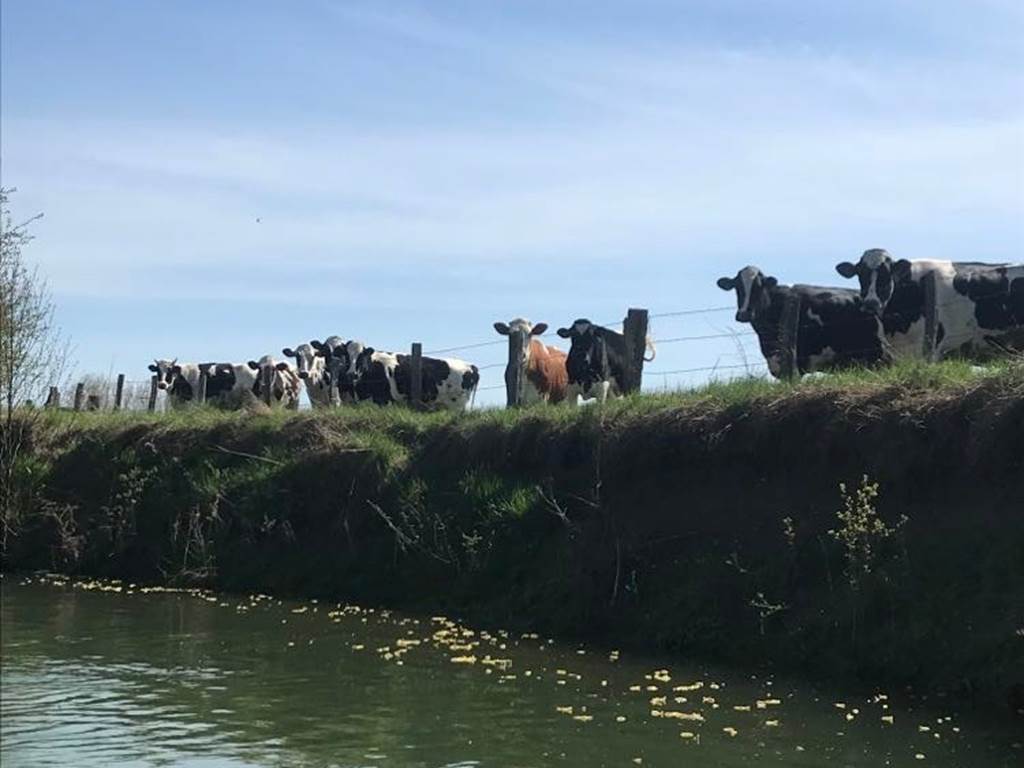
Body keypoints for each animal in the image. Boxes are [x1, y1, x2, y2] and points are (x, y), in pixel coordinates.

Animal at [336, 342, 479, 410]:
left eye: (362, 356)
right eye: (346, 355)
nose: (351, 374)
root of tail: (471, 366)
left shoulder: (385, 402)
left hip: (457, 404)